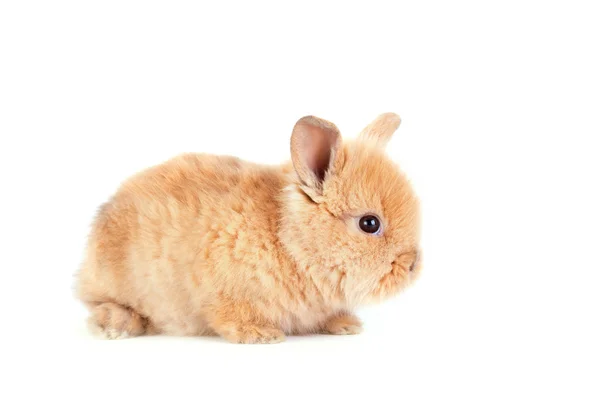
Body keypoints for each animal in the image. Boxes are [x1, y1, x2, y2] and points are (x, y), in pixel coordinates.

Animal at [75, 112, 422, 344]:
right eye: (369, 223)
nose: (413, 266)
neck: (290, 243)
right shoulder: (221, 289)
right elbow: (229, 317)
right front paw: (262, 335)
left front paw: (347, 325)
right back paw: (114, 324)